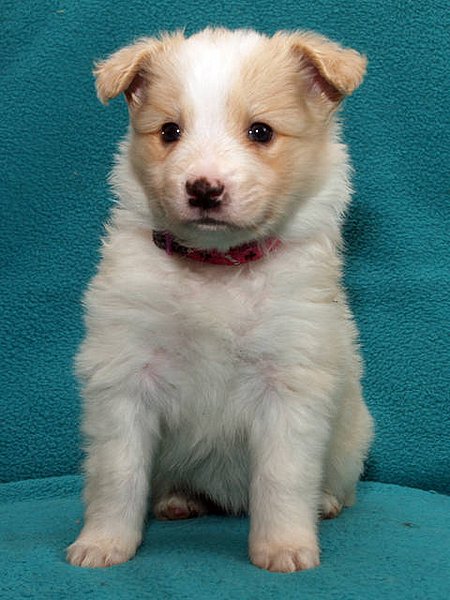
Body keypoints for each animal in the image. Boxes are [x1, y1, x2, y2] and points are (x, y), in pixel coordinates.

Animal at [67, 27, 373, 573]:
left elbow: (281, 475)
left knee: (334, 483)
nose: (204, 189)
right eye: (169, 132)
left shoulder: (289, 379)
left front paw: (284, 548)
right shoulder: (124, 373)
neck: (216, 267)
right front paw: (103, 544)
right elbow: (117, 472)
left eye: (261, 132)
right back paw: (177, 500)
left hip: (352, 438)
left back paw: (325, 503)